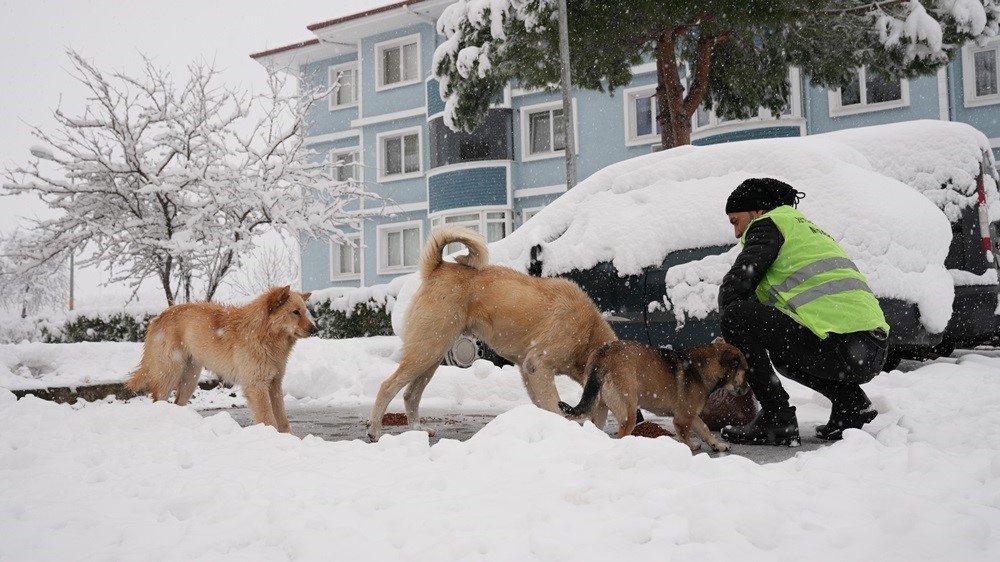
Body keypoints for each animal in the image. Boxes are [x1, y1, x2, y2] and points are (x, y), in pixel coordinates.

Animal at [126, 284, 312, 434]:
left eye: (304, 312)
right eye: (295, 312)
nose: (315, 328)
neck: (264, 334)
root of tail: (158, 318)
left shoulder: (274, 384)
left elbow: (282, 418)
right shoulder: (257, 386)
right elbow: (268, 419)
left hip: (190, 380)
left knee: (177, 403)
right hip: (170, 374)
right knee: (159, 400)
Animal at [368, 225, 616, 440]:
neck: (589, 333)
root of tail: (438, 266)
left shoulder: (528, 372)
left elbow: (542, 405)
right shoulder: (537, 366)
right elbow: (553, 406)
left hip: (433, 355)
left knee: (410, 394)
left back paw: (417, 429)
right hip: (426, 351)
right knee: (388, 386)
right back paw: (375, 431)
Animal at [556, 336, 752, 450]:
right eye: (745, 371)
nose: (747, 390)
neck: (701, 368)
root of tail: (603, 356)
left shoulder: (690, 413)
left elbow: (704, 428)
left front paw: (716, 444)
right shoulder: (682, 418)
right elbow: (686, 433)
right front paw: (691, 445)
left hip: (601, 409)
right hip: (628, 411)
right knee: (621, 435)